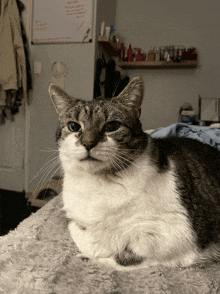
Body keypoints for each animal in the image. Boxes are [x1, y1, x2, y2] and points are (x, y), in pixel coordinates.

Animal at [48, 77, 220, 270]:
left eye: (112, 126)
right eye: (74, 126)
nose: (88, 143)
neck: (97, 184)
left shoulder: (178, 232)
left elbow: (123, 256)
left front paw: (92, 258)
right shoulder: (73, 219)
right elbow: (83, 236)